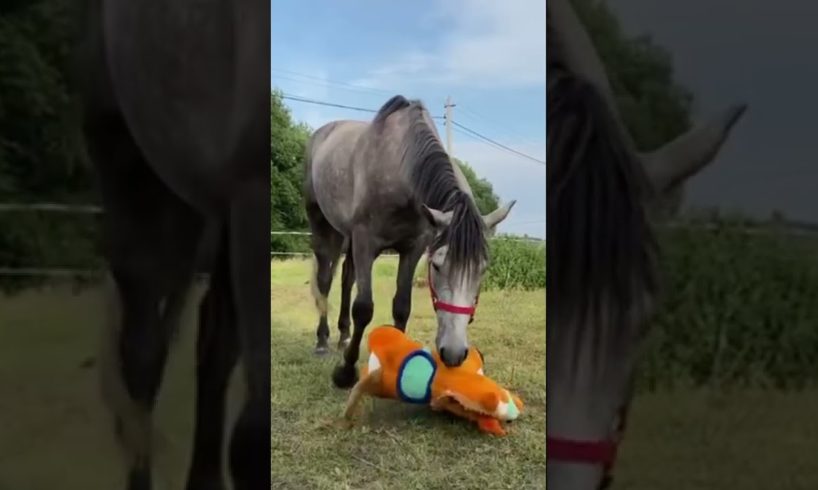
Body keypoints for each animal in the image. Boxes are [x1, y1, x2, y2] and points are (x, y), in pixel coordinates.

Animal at [304, 95, 516, 388]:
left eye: (482, 269)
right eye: (437, 266)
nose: (454, 353)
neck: (398, 169)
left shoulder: (413, 248)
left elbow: (402, 307)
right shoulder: (366, 242)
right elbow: (364, 308)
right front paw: (345, 372)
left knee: (347, 279)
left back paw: (344, 336)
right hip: (325, 228)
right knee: (325, 281)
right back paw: (323, 341)